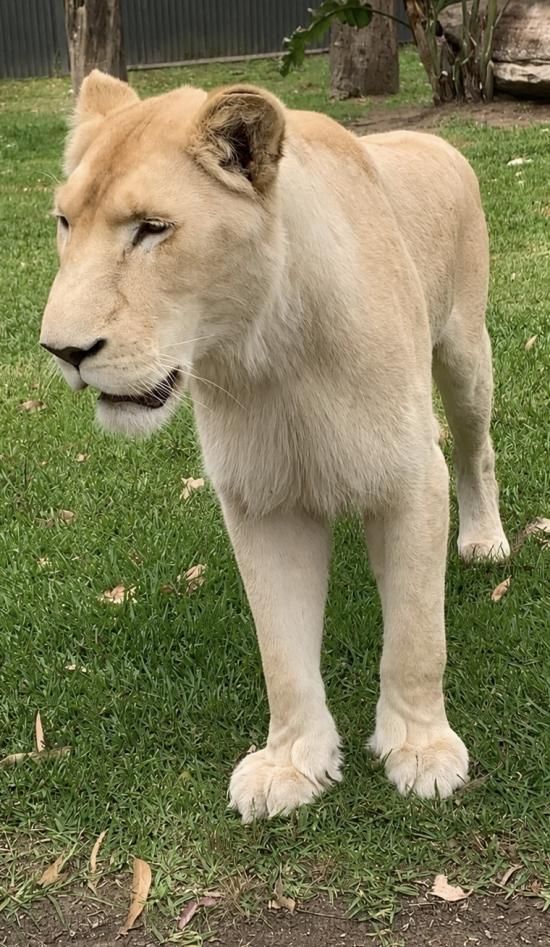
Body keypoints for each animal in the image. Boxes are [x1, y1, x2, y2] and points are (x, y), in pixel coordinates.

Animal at [40, 70, 509, 822]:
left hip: (466, 355)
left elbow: (415, 637)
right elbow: (282, 651)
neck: (269, 356)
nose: (64, 351)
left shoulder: (409, 477)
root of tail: (434, 137)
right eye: (64, 223)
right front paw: (291, 763)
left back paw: (485, 540)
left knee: (476, 450)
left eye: (152, 229)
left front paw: (420, 749)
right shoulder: (260, 499)